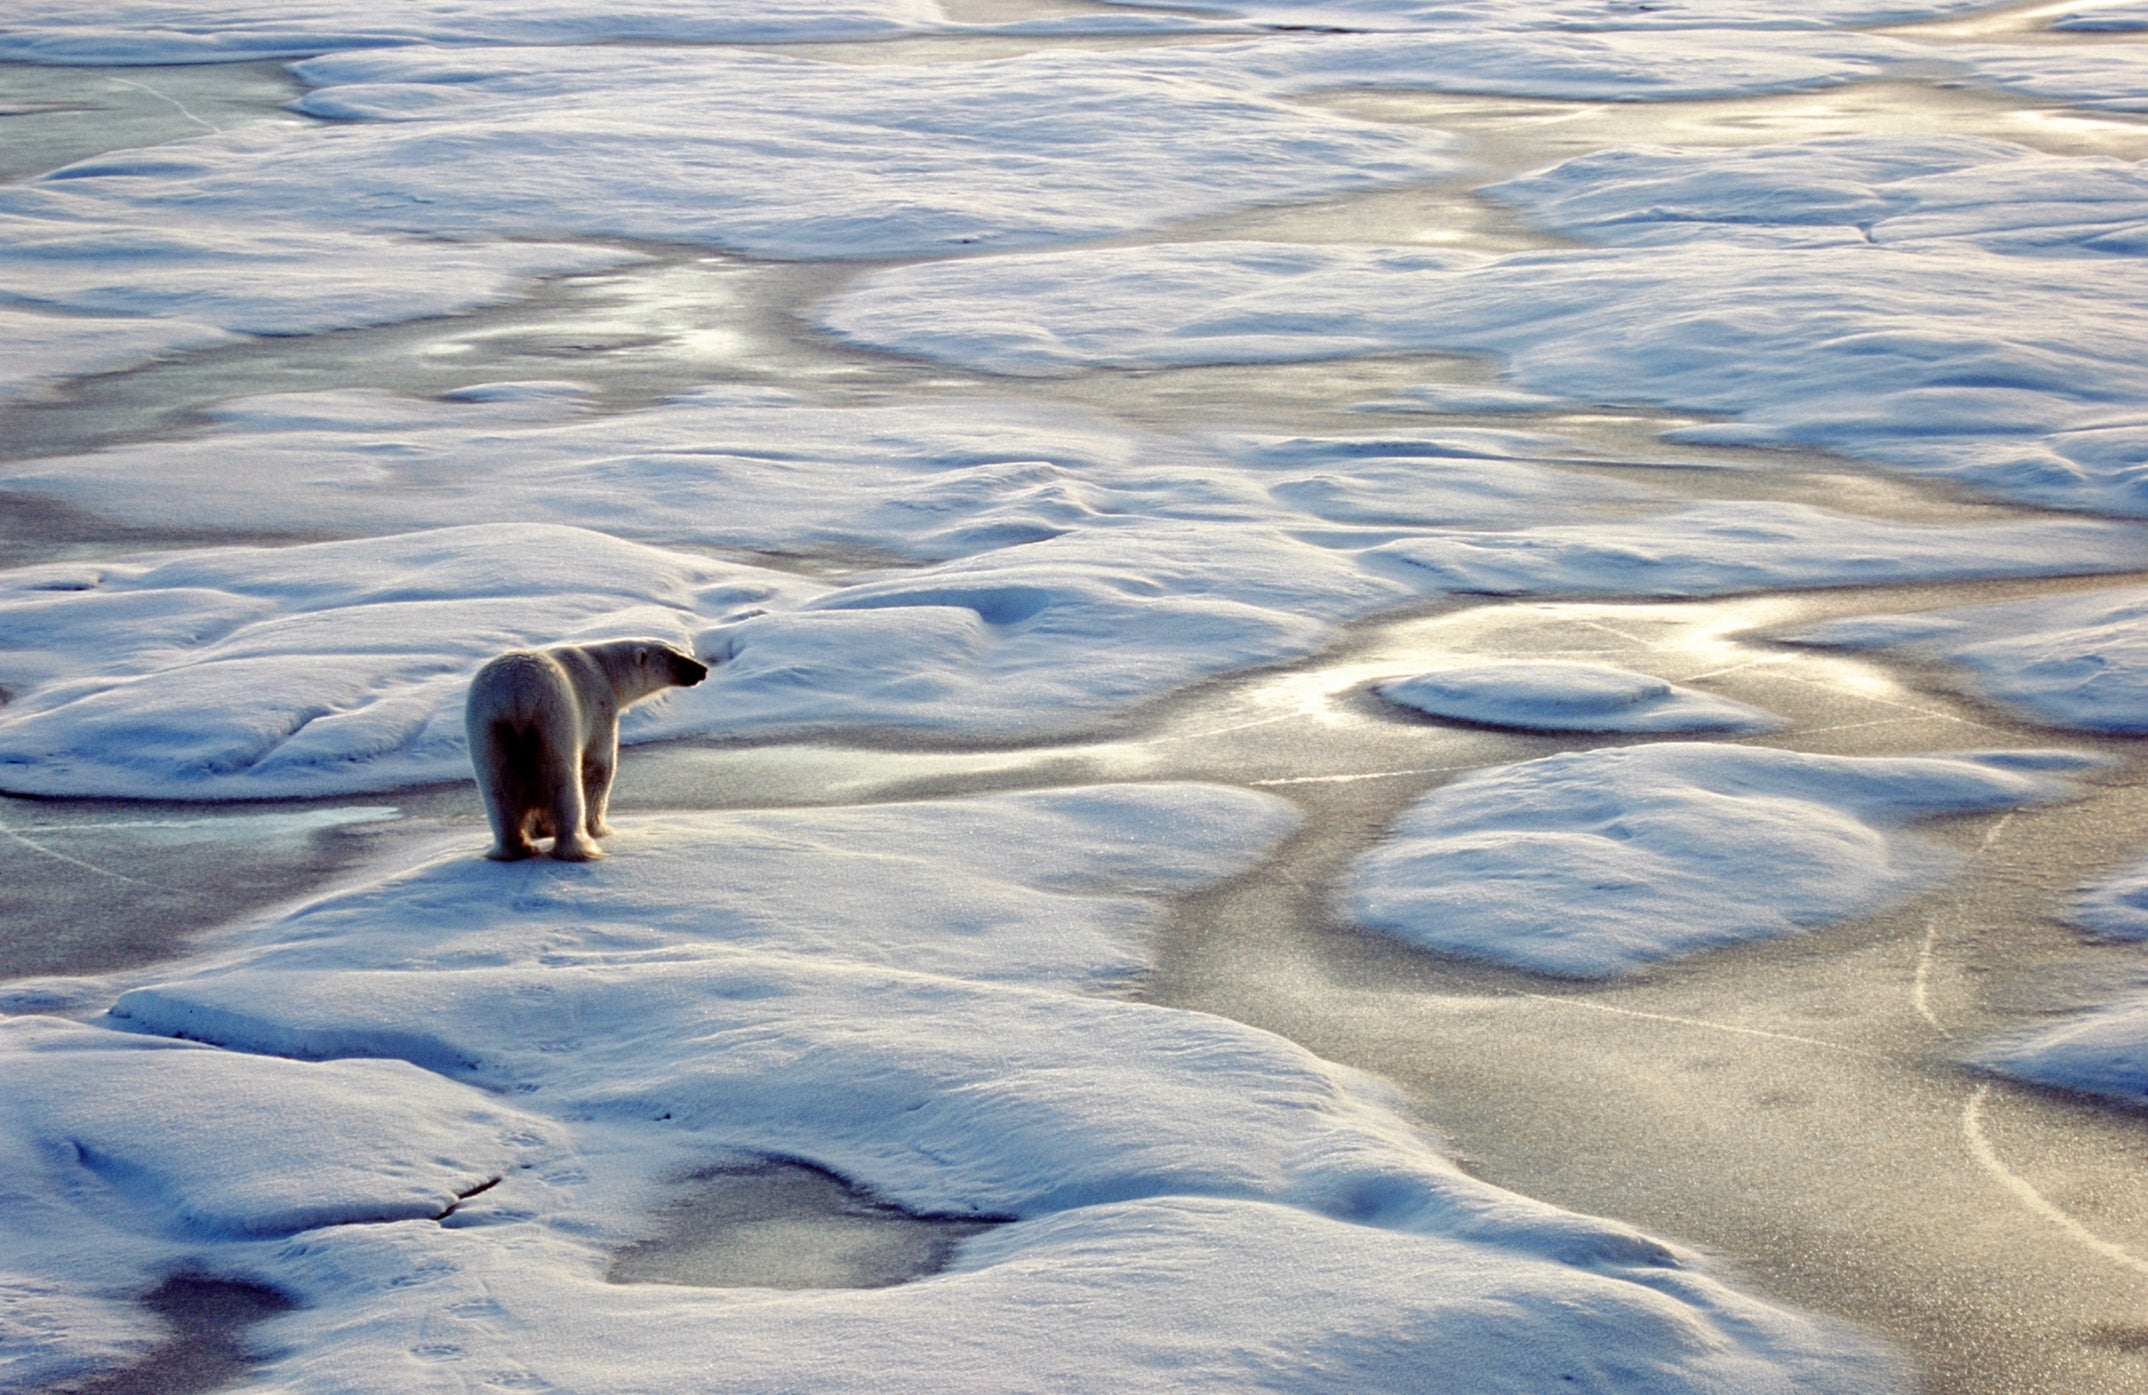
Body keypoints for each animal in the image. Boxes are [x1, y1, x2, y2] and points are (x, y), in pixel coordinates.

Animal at [466, 638, 710, 861]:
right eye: (673, 656)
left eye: (679, 650)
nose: (703, 669)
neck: (604, 667)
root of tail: (516, 696)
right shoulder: (600, 708)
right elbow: (599, 766)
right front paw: (600, 829)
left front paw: (539, 830)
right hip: (554, 719)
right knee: (562, 784)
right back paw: (578, 847)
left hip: (488, 730)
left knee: (500, 790)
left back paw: (516, 848)